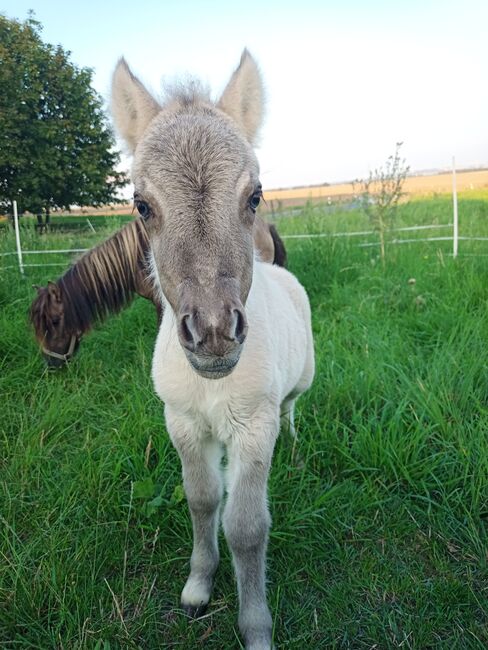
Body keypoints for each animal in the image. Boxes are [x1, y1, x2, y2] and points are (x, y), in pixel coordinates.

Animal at [111, 52, 314, 648]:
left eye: (255, 196)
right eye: (142, 205)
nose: (215, 332)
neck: (212, 383)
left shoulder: (253, 427)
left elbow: (246, 527)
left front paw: (256, 625)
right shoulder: (182, 422)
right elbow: (202, 501)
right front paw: (199, 587)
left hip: (297, 386)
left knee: (293, 410)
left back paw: (296, 447)